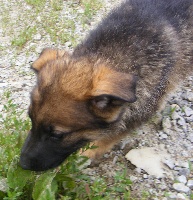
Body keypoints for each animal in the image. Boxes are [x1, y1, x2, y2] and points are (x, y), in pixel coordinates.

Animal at [20, 0, 193, 171]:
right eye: (31, 120)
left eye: (57, 135)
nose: (21, 164)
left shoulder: (143, 110)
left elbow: (111, 135)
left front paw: (85, 155)